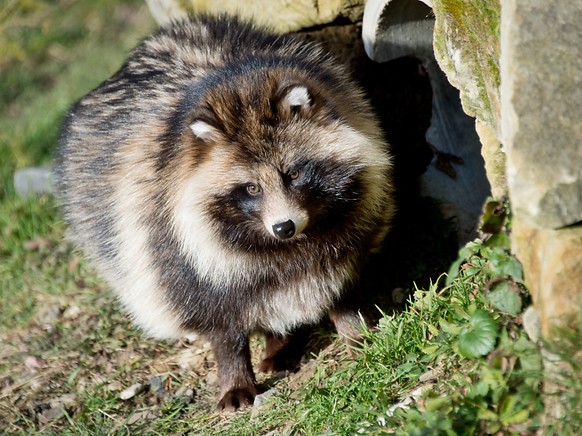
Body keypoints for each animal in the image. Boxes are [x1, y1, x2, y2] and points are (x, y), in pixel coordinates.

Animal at [54, 13, 394, 408]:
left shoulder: (356, 212)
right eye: (251, 188)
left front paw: (354, 328)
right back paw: (276, 341)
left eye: (293, 174)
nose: (283, 227)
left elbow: (340, 276)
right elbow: (219, 318)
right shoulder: (171, 239)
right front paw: (235, 374)